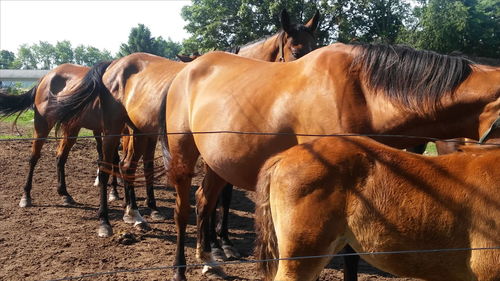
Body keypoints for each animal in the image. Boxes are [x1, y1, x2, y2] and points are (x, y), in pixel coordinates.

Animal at [0, 63, 120, 208]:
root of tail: (46, 77)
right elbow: (113, 158)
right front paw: (114, 192)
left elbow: (115, 159)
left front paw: (114, 191)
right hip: (42, 126)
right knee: (34, 157)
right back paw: (26, 196)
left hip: (72, 128)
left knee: (60, 157)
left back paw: (64, 193)